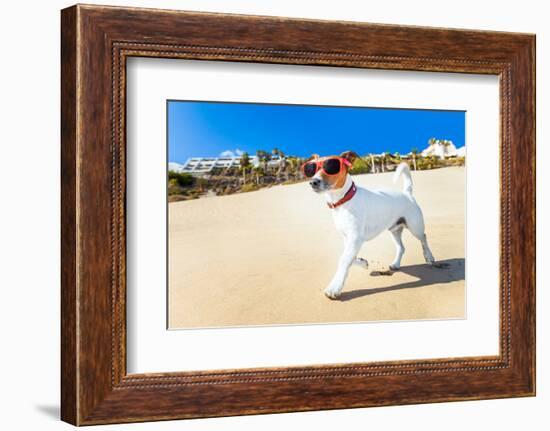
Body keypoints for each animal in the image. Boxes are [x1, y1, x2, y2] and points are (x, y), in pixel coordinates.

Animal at [304, 152, 438, 300]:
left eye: (331, 167)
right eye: (312, 169)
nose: (313, 182)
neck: (343, 200)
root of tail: (407, 193)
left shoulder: (355, 238)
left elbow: (344, 259)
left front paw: (335, 287)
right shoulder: (348, 238)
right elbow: (350, 257)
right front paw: (363, 262)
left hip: (415, 227)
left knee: (423, 238)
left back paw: (429, 257)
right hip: (394, 230)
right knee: (401, 247)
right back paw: (396, 264)